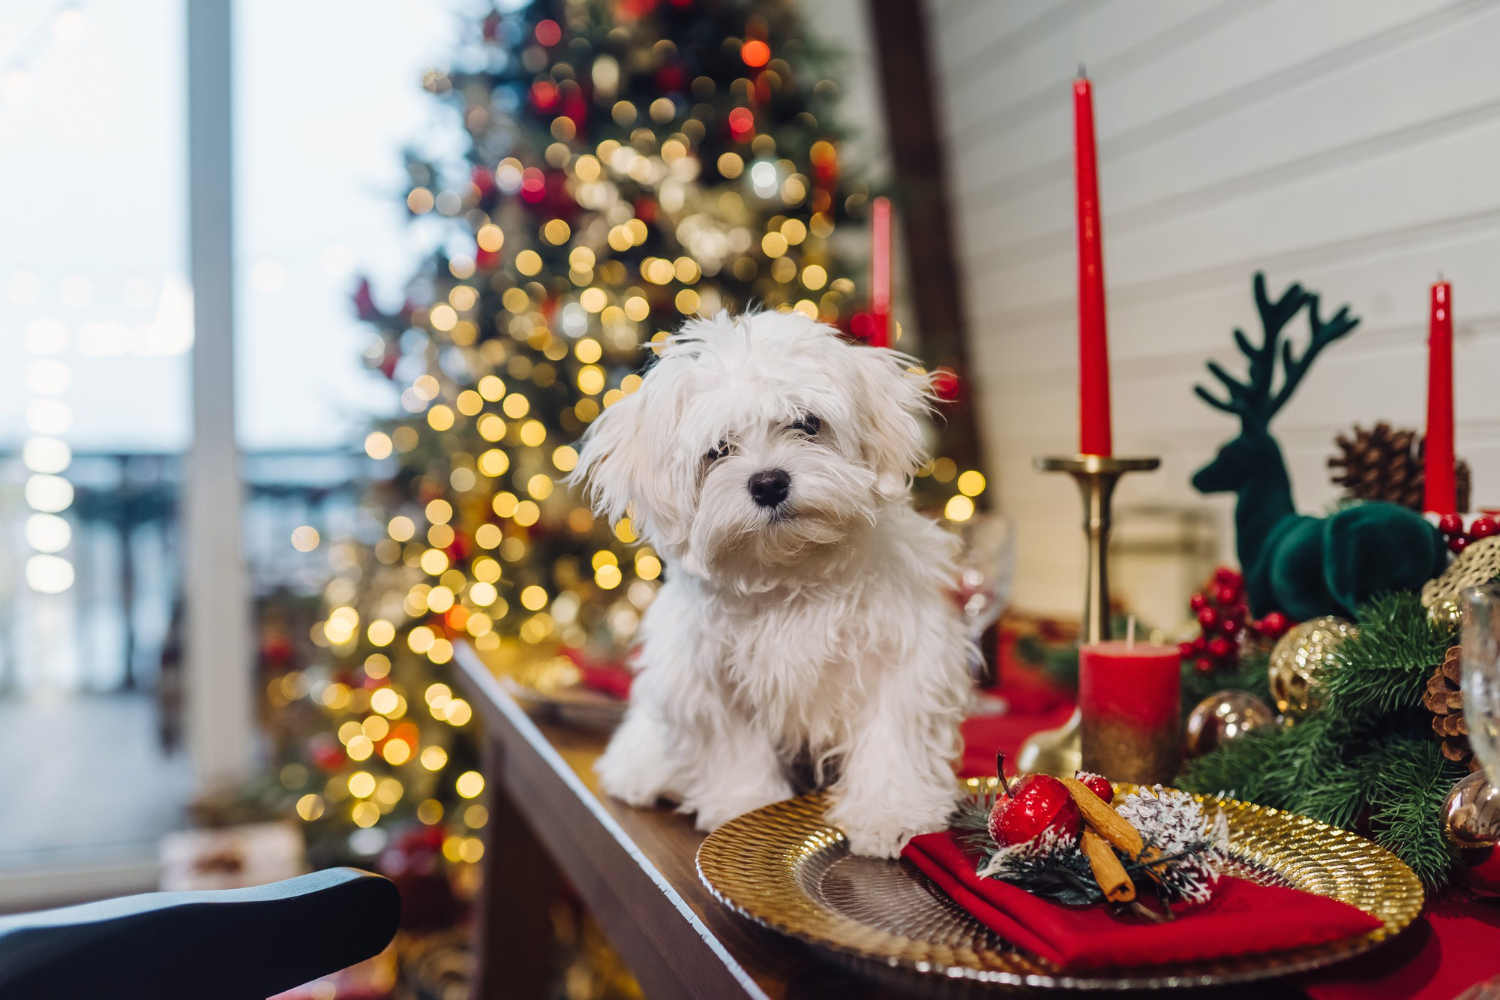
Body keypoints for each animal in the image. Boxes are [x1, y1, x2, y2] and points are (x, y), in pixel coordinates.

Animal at [567, 308, 966, 857]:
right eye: (717, 450)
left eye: (807, 424)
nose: (769, 482)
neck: (788, 570)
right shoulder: (709, 678)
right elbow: (733, 746)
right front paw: (744, 807)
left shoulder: (902, 656)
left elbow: (892, 736)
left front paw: (890, 813)